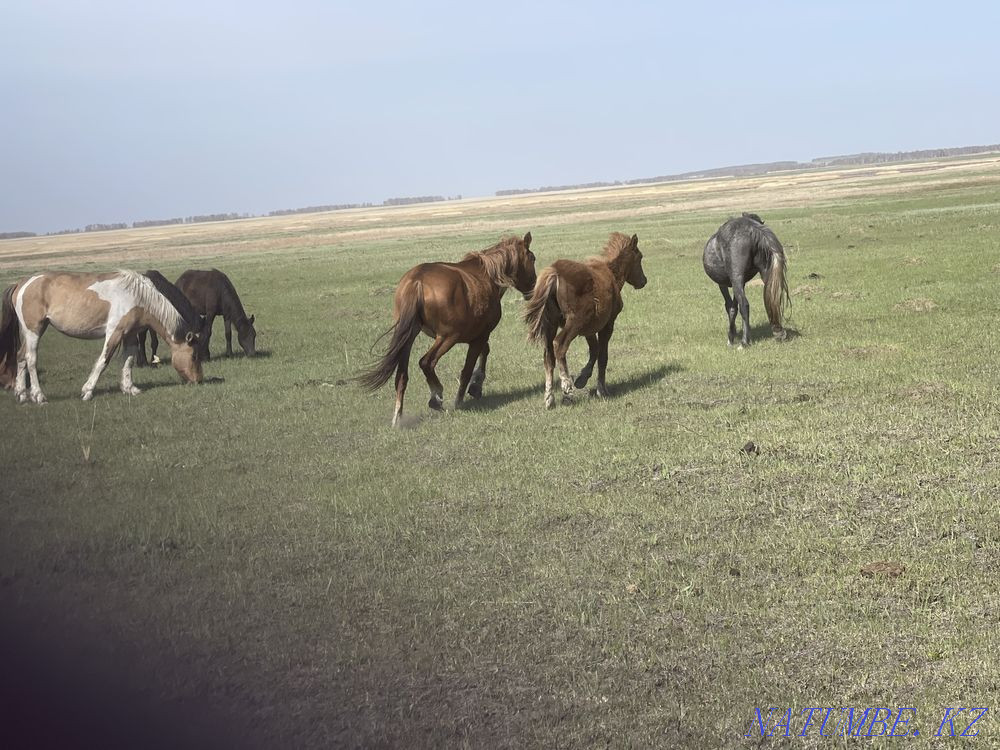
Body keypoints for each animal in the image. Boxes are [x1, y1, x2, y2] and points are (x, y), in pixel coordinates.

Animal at [0, 270, 204, 403]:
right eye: (194, 356)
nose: (199, 380)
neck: (138, 297)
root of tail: (22, 284)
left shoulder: (130, 335)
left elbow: (129, 360)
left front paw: (129, 388)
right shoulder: (114, 333)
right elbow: (103, 361)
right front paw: (87, 391)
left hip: (32, 332)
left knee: (20, 357)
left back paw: (21, 394)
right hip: (34, 330)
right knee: (31, 359)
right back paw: (38, 395)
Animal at [357, 233, 537, 426]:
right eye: (532, 258)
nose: (532, 289)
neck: (488, 276)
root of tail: (417, 281)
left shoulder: (477, 336)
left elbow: (484, 353)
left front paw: (476, 386)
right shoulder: (480, 336)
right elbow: (469, 368)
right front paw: (464, 396)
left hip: (409, 337)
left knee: (402, 376)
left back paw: (398, 417)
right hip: (447, 337)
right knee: (426, 362)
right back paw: (436, 397)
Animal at [522, 232, 646, 409]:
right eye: (640, 257)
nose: (644, 281)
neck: (612, 274)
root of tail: (555, 274)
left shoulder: (589, 329)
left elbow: (594, 350)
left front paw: (582, 379)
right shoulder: (608, 324)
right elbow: (602, 355)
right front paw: (601, 390)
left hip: (551, 323)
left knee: (548, 357)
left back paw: (549, 398)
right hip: (574, 322)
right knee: (559, 344)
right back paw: (566, 387)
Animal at [702, 212, 790, 347]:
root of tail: (755, 230)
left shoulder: (725, 284)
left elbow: (730, 307)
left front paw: (730, 337)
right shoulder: (740, 283)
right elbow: (734, 307)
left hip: (736, 278)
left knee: (744, 305)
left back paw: (744, 342)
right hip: (765, 273)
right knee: (772, 297)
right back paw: (778, 332)